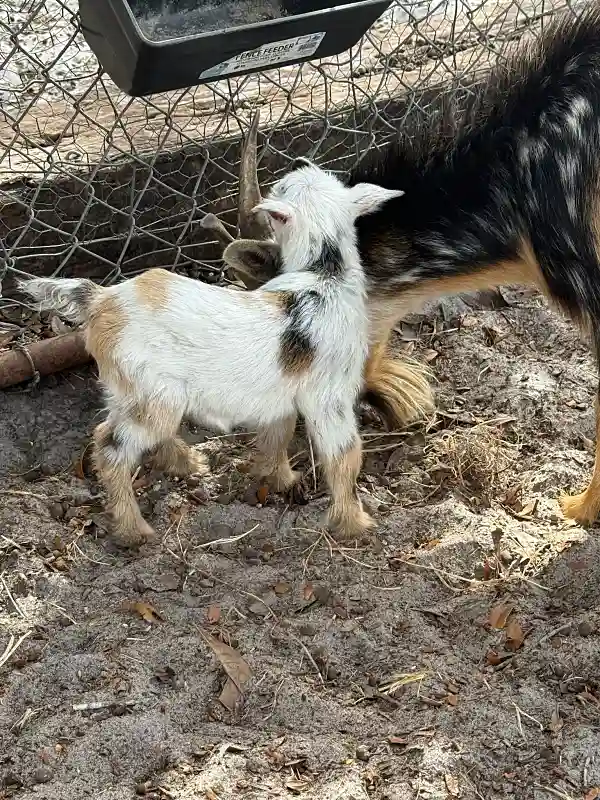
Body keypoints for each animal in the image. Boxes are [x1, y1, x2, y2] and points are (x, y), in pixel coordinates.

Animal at [20, 163, 401, 547]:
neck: (324, 272)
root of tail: (102, 299)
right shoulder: (331, 399)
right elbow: (344, 457)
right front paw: (356, 524)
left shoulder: (281, 396)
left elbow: (277, 434)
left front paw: (281, 479)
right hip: (155, 395)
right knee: (110, 447)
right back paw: (134, 531)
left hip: (136, 392)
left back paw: (189, 463)